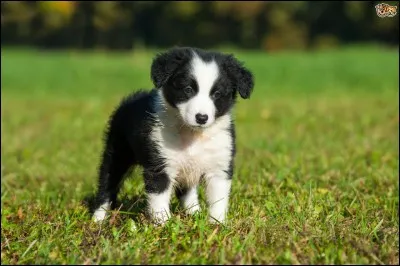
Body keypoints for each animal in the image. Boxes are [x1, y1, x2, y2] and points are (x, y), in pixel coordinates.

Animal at [93, 46, 253, 224]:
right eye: (188, 90)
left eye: (217, 94)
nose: (201, 118)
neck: (193, 134)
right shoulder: (160, 165)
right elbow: (159, 198)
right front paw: (164, 224)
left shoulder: (219, 164)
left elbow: (218, 199)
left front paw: (217, 224)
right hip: (117, 153)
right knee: (107, 182)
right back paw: (98, 218)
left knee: (187, 191)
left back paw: (194, 213)